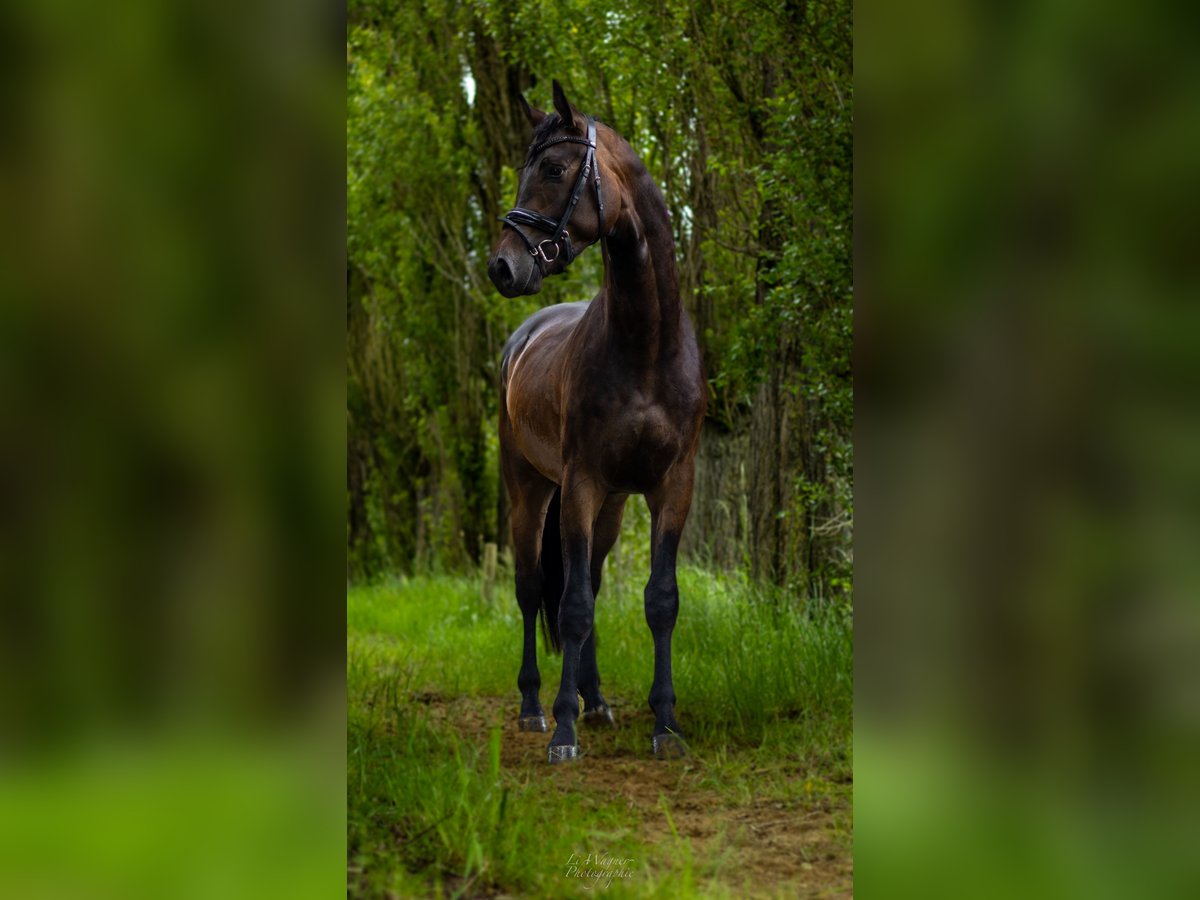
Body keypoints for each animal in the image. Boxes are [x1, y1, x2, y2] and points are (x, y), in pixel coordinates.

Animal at [482, 81, 700, 763]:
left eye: (553, 169)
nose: (502, 267)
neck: (645, 348)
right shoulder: (578, 485)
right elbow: (570, 605)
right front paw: (562, 729)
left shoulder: (670, 486)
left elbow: (660, 601)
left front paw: (665, 724)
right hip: (530, 492)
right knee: (533, 590)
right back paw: (534, 706)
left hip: (611, 506)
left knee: (593, 581)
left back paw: (596, 699)